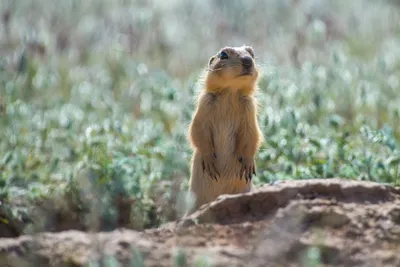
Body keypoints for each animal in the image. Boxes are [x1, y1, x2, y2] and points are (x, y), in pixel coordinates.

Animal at [187, 45, 262, 215]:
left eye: (252, 53)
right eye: (223, 54)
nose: (247, 60)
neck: (230, 93)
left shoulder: (249, 109)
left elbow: (252, 134)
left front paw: (248, 163)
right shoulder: (204, 104)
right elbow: (197, 130)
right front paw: (209, 161)